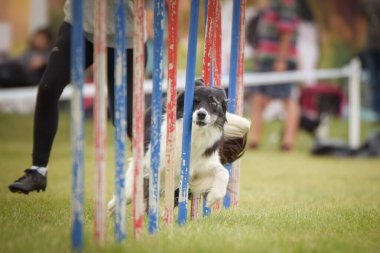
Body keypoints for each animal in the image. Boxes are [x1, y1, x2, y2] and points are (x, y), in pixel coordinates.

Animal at [107, 79, 249, 213]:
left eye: (213, 103)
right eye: (194, 101)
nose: (201, 114)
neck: (196, 134)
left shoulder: (199, 166)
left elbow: (223, 172)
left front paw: (213, 197)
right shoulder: (153, 161)